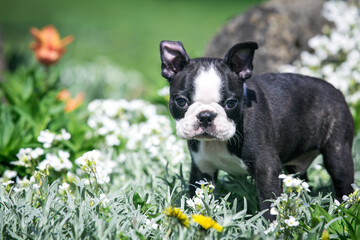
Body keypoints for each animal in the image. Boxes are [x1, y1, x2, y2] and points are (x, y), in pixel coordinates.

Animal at [160, 39, 354, 219]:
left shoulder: (266, 168)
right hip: (295, 168)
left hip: (337, 152)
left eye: (231, 103)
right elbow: (199, 199)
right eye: (181, 102)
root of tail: (336, 90)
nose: (206, 116)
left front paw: (272, 226)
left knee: (343, 180)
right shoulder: (202, 169)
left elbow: (269, 203)